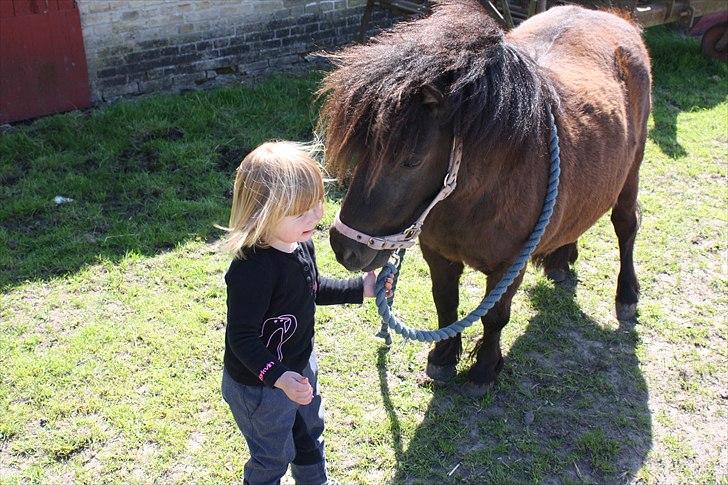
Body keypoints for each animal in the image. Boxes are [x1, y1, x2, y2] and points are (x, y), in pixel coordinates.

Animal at [322, 0, 652, 396]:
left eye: (411, 160)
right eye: (362, 150)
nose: (344, 248)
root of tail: (615, 18)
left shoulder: (510, 265)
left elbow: (495, 316)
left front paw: (483, 369)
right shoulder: (438, 253)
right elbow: (445, 303)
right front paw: (443, 357)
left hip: (631, 172)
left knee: (626, 226)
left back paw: (627, 295)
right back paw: (561, 260)